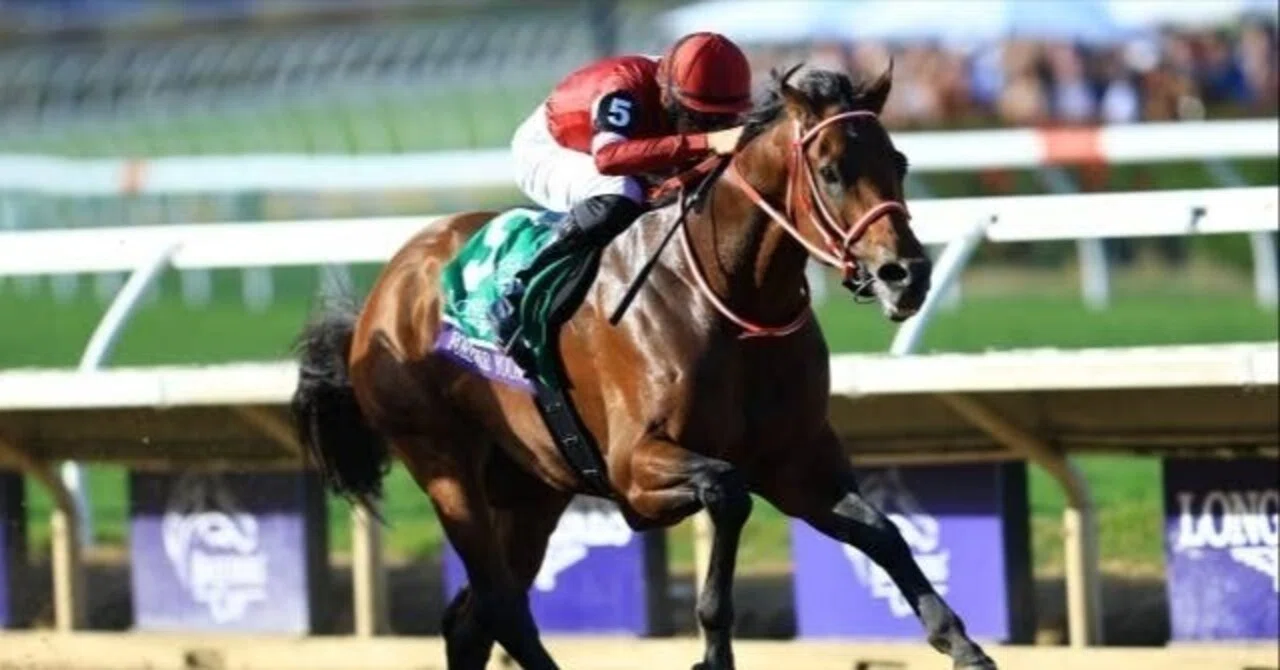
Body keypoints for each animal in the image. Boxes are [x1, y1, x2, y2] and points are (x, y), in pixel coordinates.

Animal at [290, 64, 999, 670]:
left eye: (898, 161)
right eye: (829, 170)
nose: (907, 274)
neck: (732, 300)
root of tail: (387, 287)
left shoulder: (795, 461)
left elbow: (883, 532)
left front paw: (962, 643)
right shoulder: (636, 470)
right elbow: (728, 494)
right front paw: (712, 652)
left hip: (530, 489)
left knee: (474, 618)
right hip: (444, 466)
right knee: (499, 604)